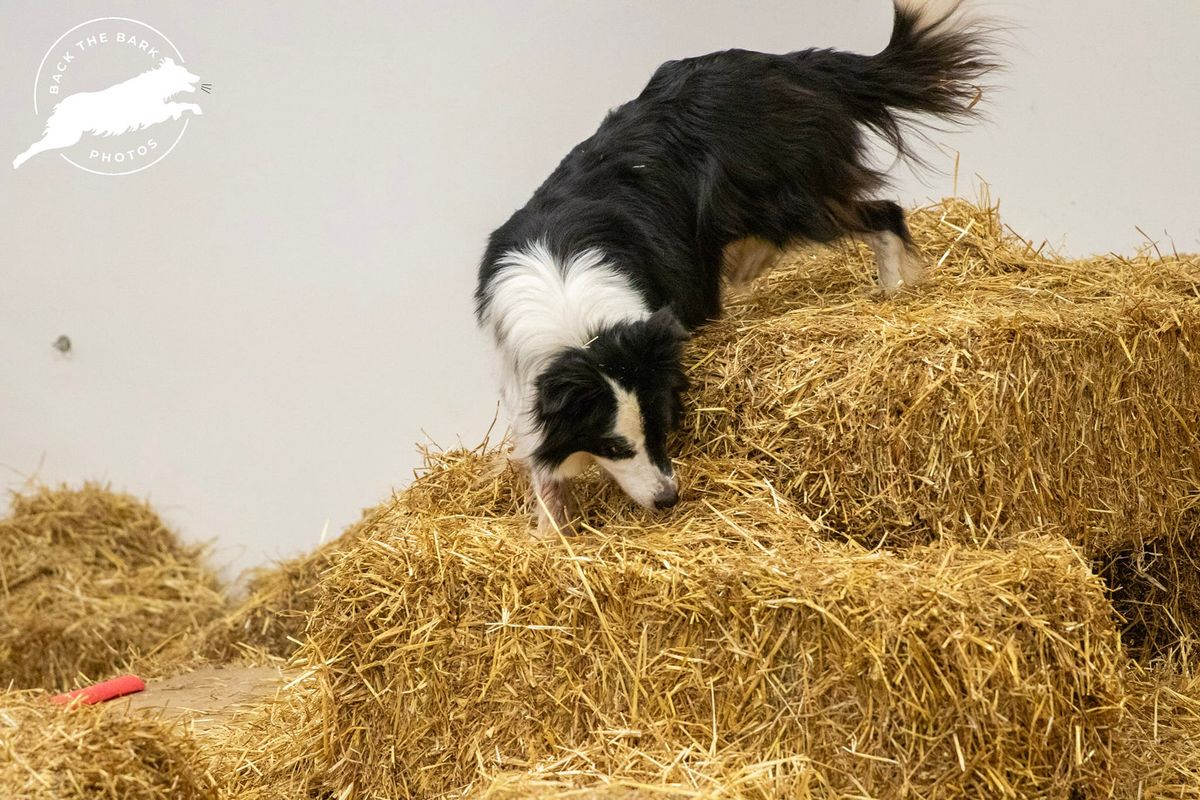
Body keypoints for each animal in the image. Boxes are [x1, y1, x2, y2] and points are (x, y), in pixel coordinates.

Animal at [475, 1, 993, 537]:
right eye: (613, 445)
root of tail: (792, 65)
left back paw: (893, 292)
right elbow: (543, 464)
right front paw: (551, 531)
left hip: (786, 193)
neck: (584, 324)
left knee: (884, 212)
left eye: (661, 425)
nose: (668, 500)